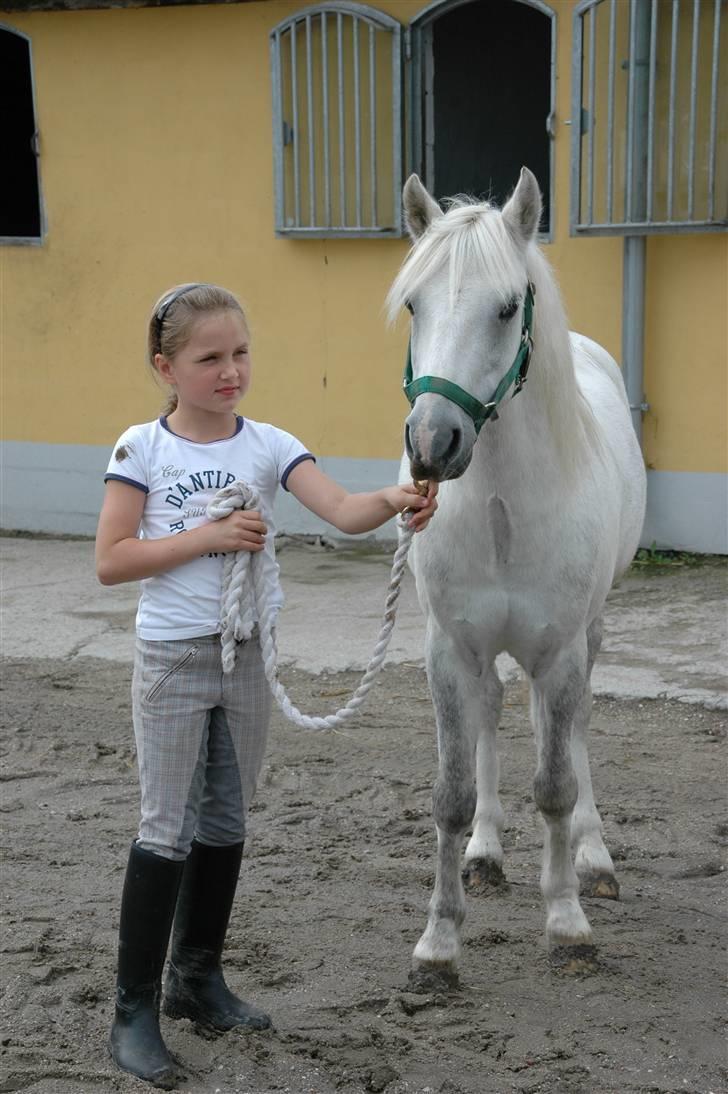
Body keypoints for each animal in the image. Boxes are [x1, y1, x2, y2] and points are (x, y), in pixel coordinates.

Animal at [385, 170, 648, 984]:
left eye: (506, 307)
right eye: (414, 305)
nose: (433, 443)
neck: (503, 509)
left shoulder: (558, 649)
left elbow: (556, 783)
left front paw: (566, 920)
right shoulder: (449, 651)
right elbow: (451, 791)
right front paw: (439, 941)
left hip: (585, 636)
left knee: (571, 729)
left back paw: (591, 858)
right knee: (498, 713)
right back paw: (487, 854)